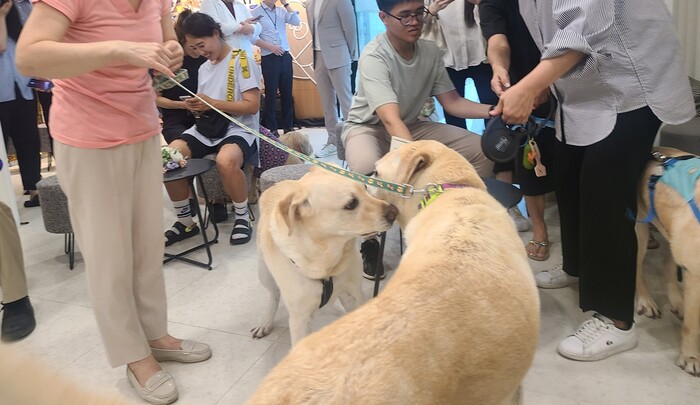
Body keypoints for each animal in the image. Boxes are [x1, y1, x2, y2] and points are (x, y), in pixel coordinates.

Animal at [636, 146, 700, 376]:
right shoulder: (696, 275)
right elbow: (693, 325)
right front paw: (691, 357)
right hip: (640, 231)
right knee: (638, 270)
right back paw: (646, 301)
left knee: (667, 265)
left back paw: (678, 301)